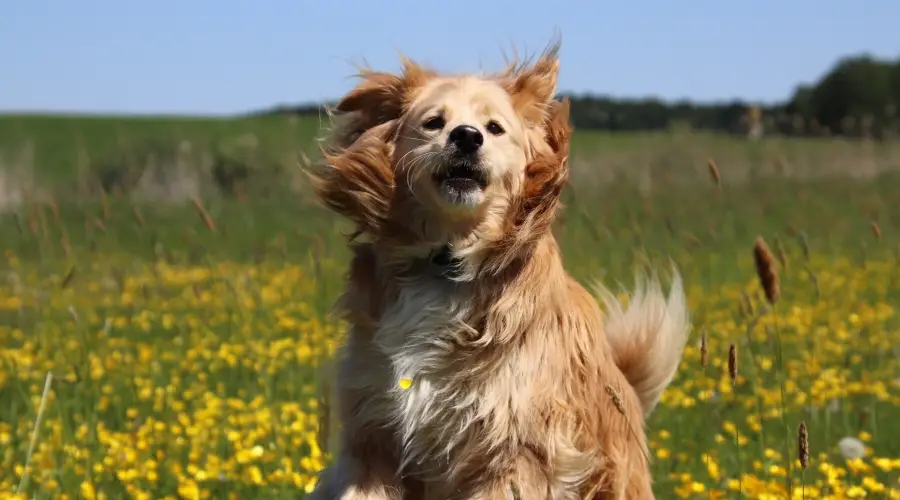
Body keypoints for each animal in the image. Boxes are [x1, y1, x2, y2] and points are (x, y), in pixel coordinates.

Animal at [306, 41, 692, 498]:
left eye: (494, 128)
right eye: (434, 122)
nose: (466, 136)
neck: (448, 261)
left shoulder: (515, 449)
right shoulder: (373, 434)